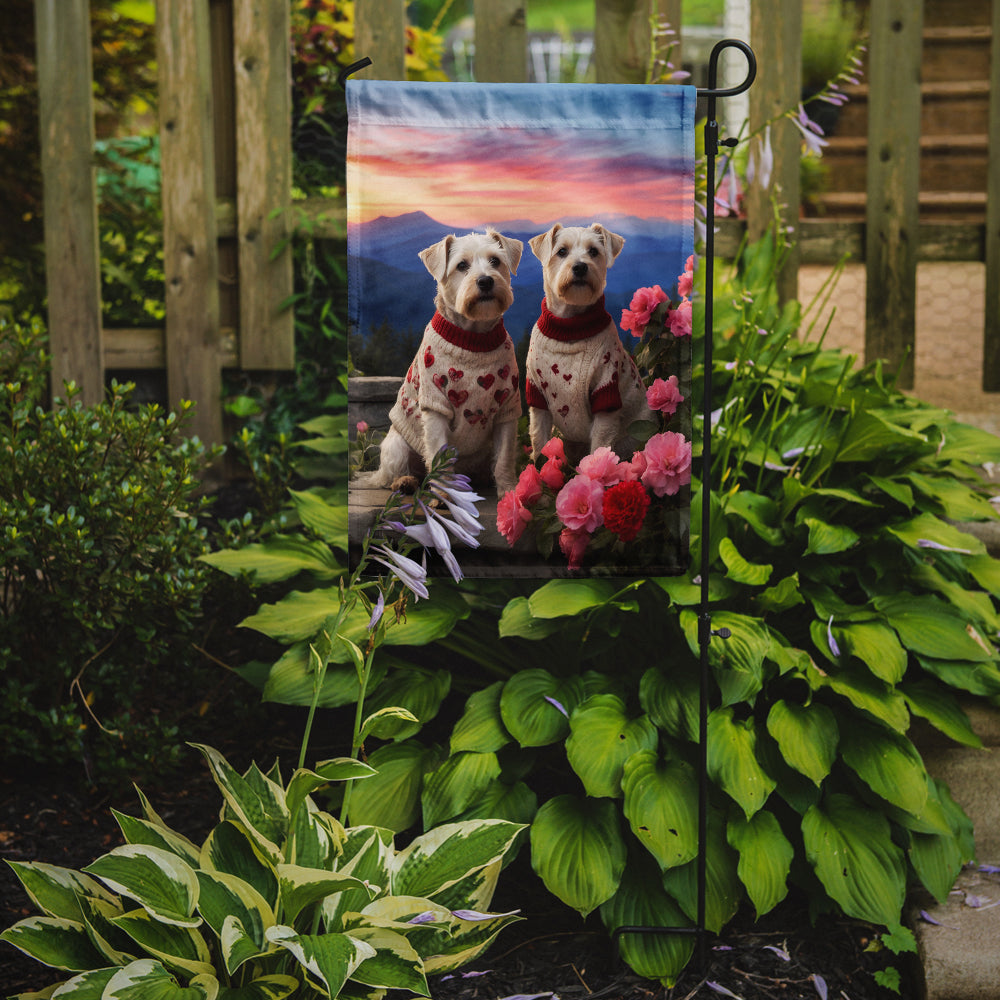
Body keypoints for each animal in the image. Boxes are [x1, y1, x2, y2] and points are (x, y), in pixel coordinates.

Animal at [364, 228, 528, 492]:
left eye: (495, 261)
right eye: (461, 265)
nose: (485, 281)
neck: (473, 338)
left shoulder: (507, 407)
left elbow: (504, 456)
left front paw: (510, 490)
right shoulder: (435, 404)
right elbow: (439, 453)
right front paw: (446, 493)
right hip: (396, 444)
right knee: (392, 472)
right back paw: (404, 481)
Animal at [528, 223, 652, 460]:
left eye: (594, 251)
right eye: (561, 251)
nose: (580, 267)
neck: (569, 327)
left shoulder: (606, 391)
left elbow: (600, 446)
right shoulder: (538, 396)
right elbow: (540, 441)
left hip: (633, 438)